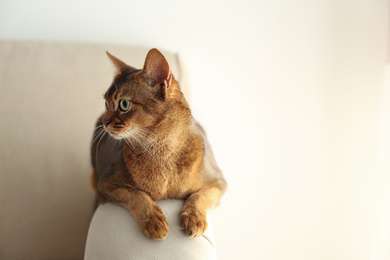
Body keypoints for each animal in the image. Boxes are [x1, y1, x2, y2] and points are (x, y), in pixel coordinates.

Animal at [90, 48, 227, 240]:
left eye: (124, 104)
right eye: (106, 103)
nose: (104, 121)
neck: (161, 150)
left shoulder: (219, 183)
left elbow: (201, 195)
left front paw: (194, 218)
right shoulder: (105, 183)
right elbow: (135, 194)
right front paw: (153, 220)